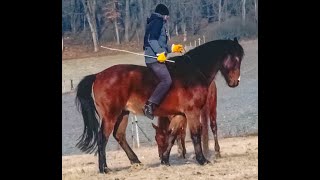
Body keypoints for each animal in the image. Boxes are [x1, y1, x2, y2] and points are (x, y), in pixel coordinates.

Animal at [75, 37, 244, 173]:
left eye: (240, 59)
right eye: (235, 59)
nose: (235, 82)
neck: (193, 72)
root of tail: (98, 75)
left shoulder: (180, 115)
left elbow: (172, 135)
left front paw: (165, 160)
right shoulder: (192, 112)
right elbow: (195, 134)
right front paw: (202, 160)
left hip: (123, 113)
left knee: (119, 135)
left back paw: (135, 161)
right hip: (110, 115)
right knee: (102, 138)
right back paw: (104, 168)